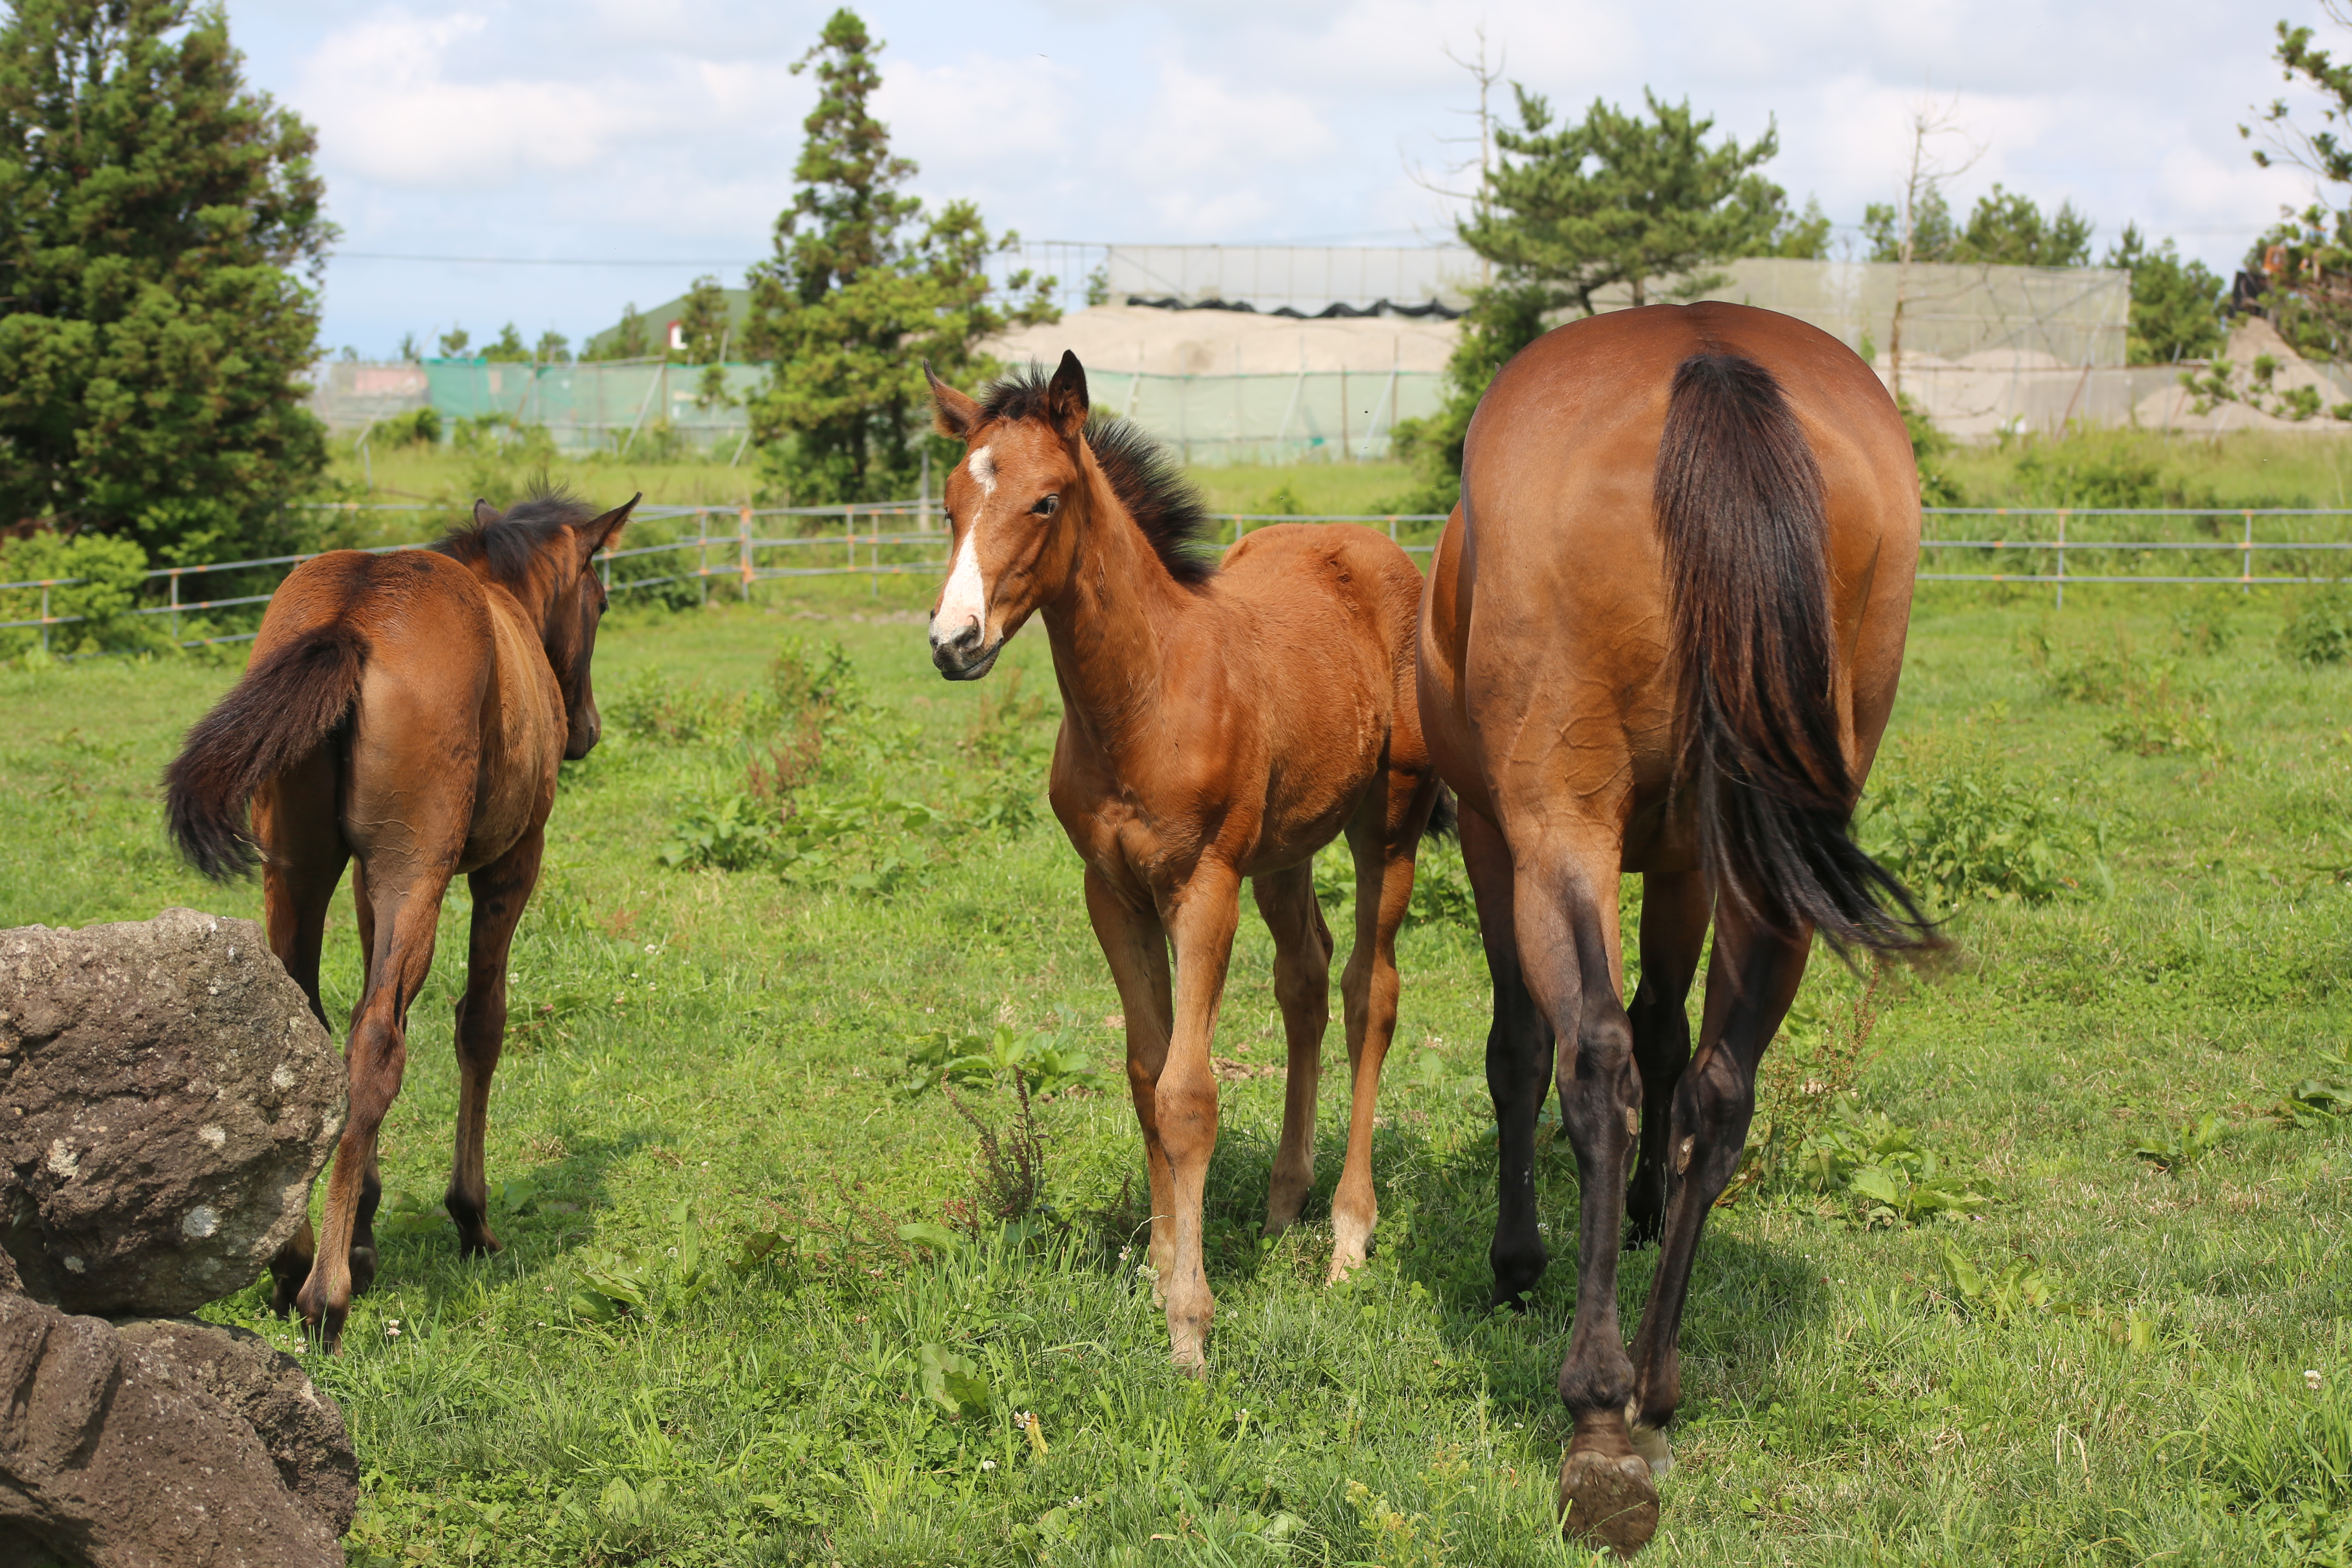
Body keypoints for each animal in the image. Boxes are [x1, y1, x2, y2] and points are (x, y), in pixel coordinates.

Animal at [165, 493, 635, 1354]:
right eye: (601, 601)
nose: (584, 729)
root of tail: (354, 618)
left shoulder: (362, 884)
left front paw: (365, 1223)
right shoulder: (508, 865)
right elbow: (479, 1024)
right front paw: (470, 1217)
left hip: (299, 876)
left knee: (312, 1040)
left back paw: (295, 1259)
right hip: (417, 874)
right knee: (378, 1047)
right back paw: (326, 1296)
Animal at [922, 350, 1439, 1363]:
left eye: (1045, 502)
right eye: (955, 501)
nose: (954, 642)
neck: (1144, 695)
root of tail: (1379, 552)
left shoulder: (1204, 887)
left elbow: (1189, 1094)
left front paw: (1190, 1328)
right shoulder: (1112, 891)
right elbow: (1143, 1076)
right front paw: (1163, 1267)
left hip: (1386, 824)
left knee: (1372, 990)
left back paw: (1347, 1237)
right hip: (1283, 850)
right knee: (1305, 980)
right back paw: (1283, 1204)